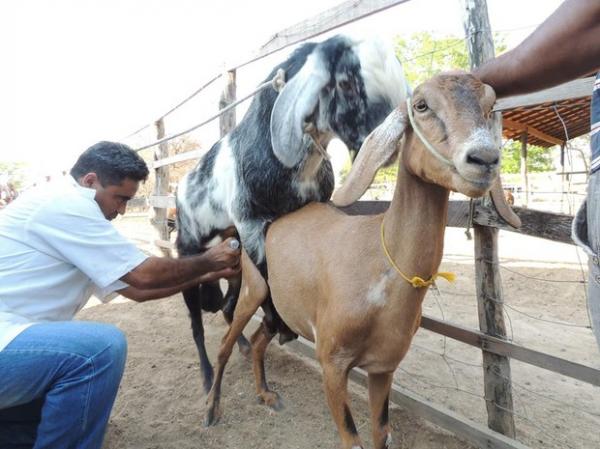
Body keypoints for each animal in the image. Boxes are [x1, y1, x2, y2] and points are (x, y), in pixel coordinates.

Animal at [173, 34, 408, 392]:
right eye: (345, 82)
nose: (393, 143)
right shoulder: (250, 222)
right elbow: (268, 274)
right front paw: (280, 326)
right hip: (188, 257)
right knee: (197, 323)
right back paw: (207, 375)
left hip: (231, 265)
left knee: (227, 307)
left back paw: (242, 346)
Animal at [205, 73, 502, 444]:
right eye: (421, 105)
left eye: (490, 106)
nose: (484, 159)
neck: (381, 267)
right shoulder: (332, 362)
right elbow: (352, 437)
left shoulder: (383, 366)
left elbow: (381, 433)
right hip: (252, 290)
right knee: (225, 344)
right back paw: (212, 410)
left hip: (280, 307)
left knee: (259, 341)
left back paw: (267, 395)